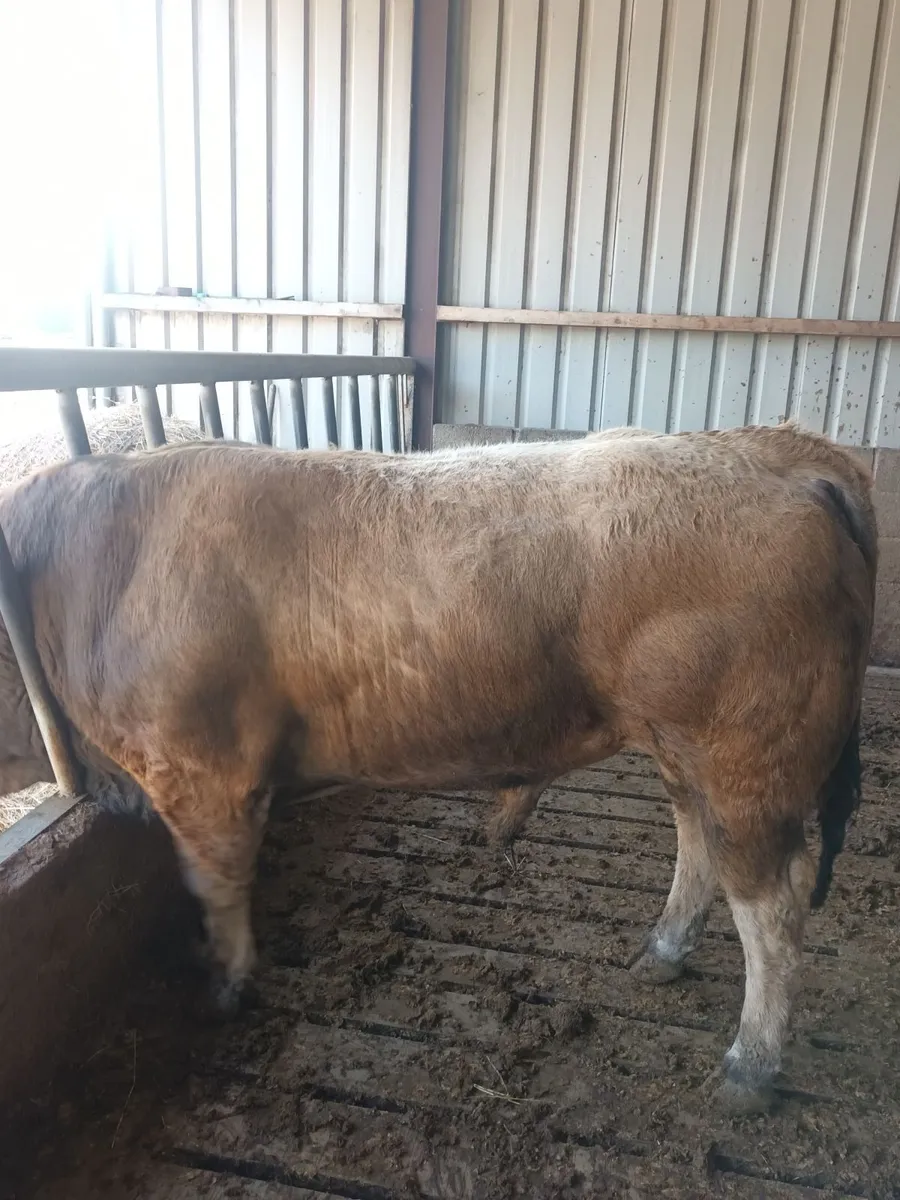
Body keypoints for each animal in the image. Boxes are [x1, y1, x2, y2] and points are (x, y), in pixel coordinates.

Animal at [0, 422, 876, 1114]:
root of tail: (774, 453)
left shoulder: (199, 770)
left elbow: (215, 884)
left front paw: (224, 986)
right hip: (681, 745)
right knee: (697, 847)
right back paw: (661, 955)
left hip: (747, 757)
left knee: (773, 907)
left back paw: (749, 1069)